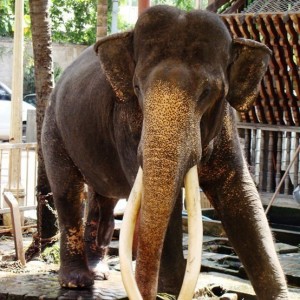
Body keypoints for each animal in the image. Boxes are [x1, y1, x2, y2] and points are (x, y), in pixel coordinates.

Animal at [41, 4, 288, 300]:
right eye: (137, 88)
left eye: (208, 91)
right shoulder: (127, 123)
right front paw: (174, 288)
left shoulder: (227, 125)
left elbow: (242, 196)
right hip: (53, 127)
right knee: (67, 191)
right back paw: (77, 282)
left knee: (104, 200)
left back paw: (99, 272)